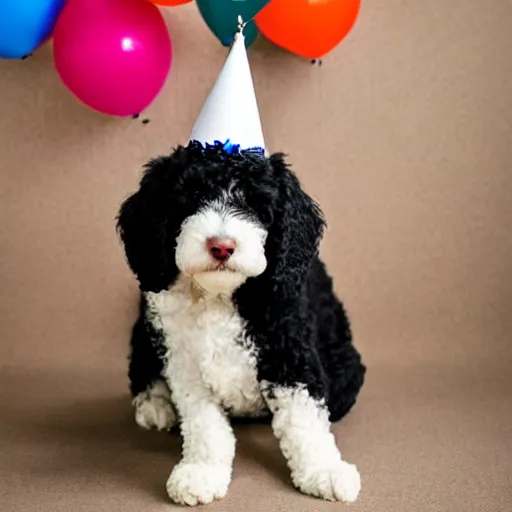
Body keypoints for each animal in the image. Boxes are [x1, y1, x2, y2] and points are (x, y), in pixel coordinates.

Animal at [117, 141, 364, 508]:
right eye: (193, 196)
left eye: (255, 203)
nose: (221, 247)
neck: (220, 295)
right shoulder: (183, 357)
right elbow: (204, 421)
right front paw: (202, 471)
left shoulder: (290, 350)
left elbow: (304, 416)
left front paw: (324, 470)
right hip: (145, 330)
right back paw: (156, 404)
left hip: (345, 362)